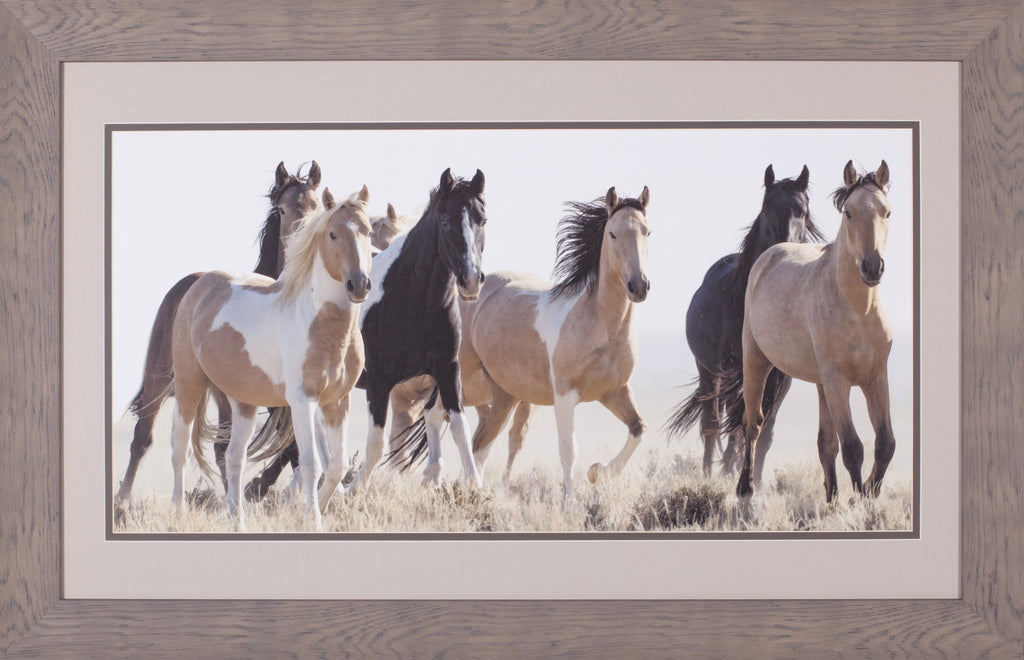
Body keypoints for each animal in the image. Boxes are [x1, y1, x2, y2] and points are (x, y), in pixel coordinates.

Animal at [114, 161, 321, 507]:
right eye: (282, 209)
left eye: (317, 206)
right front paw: (260, 488)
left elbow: (290, 445)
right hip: (161, 374)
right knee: (143, 437)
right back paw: (122, 502)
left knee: (220, 446)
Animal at [170, 186, 373, 530]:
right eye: (333, 234)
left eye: (368, 232)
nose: (358, 285)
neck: (323, 326)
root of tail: (200, 284)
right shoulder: (302, 400)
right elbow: (310, 463)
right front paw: (312, 520)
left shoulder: (337, 402)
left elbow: (337, 466)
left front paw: (314, 511)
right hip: (189, 385)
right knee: (180, 449)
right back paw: (178, 514)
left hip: (243, 402)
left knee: (233, 458)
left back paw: (237, 521)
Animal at [403, 186, 652, 498]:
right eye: (613, 234)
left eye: (648, 231)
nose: (638, 286)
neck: (599, 324)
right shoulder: (565, 395)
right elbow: (568, 449)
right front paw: (570, 499)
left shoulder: (615, 391)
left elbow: (638, 429)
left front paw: (599, 471)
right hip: (458, 379)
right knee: (438, 416)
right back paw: (434, 478)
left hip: (504, 394)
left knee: (482, 441)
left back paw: (463, 485)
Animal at [665, 165, 825, 481]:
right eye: (766, 209)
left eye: (803, 211)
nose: (783, 248)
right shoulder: (727, 367)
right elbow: (730, 422)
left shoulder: (780, 377)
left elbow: (764, 430)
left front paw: (756, 480)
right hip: (709, 371)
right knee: (713, 422)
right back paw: (711, 471)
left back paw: (731, 466)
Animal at [722, 160, 896, 502]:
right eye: (849, 213)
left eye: (887, 212)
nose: (872, 267)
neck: (857, 309)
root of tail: (771, 253)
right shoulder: (837, 380)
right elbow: (853, 447)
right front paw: (858, 500)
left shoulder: (875, 377)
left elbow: (885, 444)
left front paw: (866, 494)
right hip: (757, 361)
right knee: (753, 423)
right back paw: (746, 487)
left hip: (820, 384)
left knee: (825, 443)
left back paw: (831, 495)